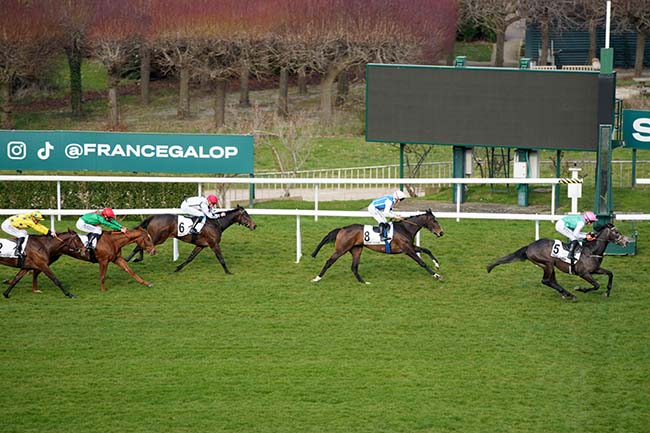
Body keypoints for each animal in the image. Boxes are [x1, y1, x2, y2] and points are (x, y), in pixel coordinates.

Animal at [4, 226, 156, 294]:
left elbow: (131, 271)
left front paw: (146, 283)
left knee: (35, 271)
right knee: (35, 270)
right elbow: (102, 276)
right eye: (148, 238)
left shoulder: (117, 259)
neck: (113, 241)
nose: (154, 251)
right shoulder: (103, 261)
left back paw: (33, 288)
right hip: (49, 258)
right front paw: (103, 290)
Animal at [124, 204, 256, 272]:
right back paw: (129, 258)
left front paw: (177, 268)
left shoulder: (201, 245)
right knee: (140, 245)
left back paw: (136, 258)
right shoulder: (214, 244)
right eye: (246, 215)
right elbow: (221, 258)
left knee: (141, 244)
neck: (216, 223)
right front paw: (228, 272)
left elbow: (190, 258)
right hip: (158, 238)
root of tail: (153, 216)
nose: (254, 226)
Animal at [308, 209, 440, 284]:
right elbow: (421, 262)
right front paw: (436, 275)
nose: (441, 232)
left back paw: (363, 282)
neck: (404, 228)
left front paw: (437, 265)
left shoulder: (410, 247)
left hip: (356, 249)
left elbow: (427, 250)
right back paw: (317, 278)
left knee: (354, 267)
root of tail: (342, 229)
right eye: (434, 221)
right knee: (329, 262)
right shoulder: (407, 249)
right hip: (341, 249)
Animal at [486, 223, 628, 300]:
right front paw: (581, 289)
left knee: (551, 281)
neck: (591, 250)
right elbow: (596, 285)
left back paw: (566, 294)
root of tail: (529, 246)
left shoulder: (595, 269)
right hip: (547, 263)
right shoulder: (584, 273)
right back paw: (570, 294)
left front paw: (607, 292)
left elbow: (610, 273)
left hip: (550, 266)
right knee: (546, 281)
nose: (626, 242)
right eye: (616, 232)